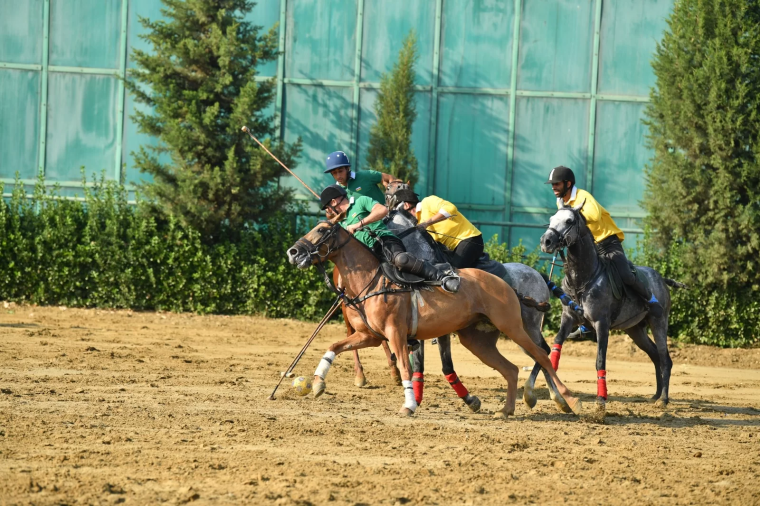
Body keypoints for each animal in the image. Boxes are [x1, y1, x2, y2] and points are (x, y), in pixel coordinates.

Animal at [286, 219, 580, 418]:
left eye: (322, 229)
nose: (293, 252)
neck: (372, 281)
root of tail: (507, 284)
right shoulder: (370, 336)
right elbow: (334, 347)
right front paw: (317, 382)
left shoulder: (396, 334)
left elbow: (406, 368)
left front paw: (409, 405)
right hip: (477, 340)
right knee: (511, 368)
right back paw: (506, 410)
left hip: (514, 326)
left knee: (541, 355)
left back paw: (567, 399)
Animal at [536, 200, 684, 410]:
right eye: (551, 219)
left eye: (569, 220)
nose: (546, 241)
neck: (584, 277)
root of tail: (662, 279)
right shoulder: (568, 318)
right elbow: (557, 344)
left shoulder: (601, 324)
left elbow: (600, 361)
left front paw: (601, 399)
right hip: (636, 330)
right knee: (655, 355)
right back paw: (655, 395)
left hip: (659, 322)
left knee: (665, 358)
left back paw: (663, 399)